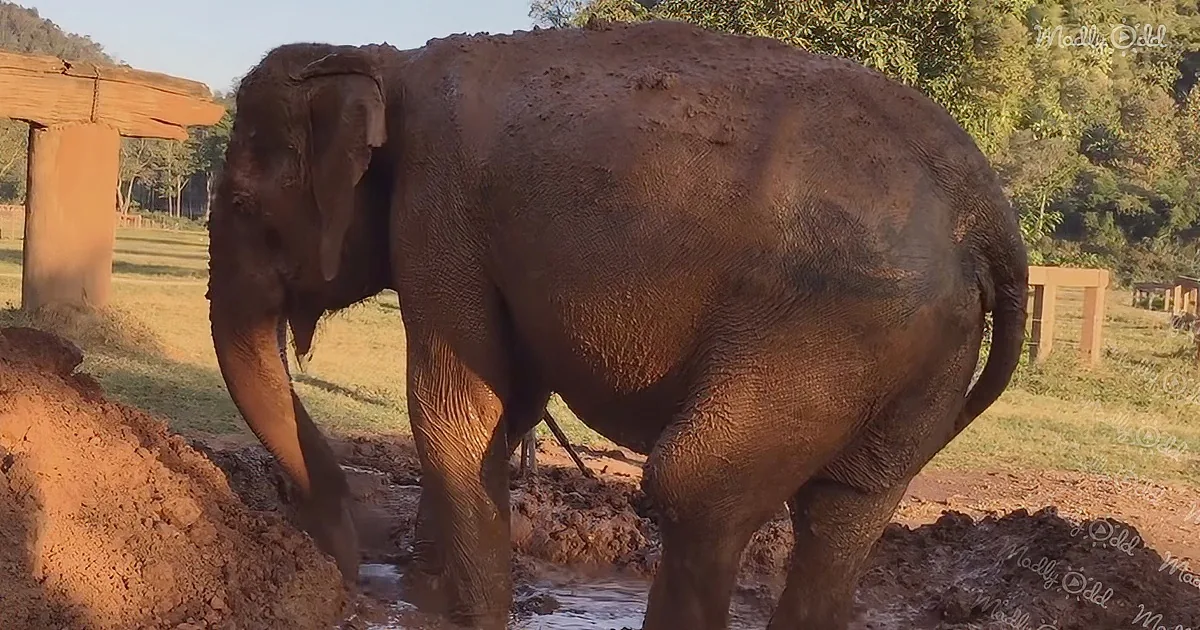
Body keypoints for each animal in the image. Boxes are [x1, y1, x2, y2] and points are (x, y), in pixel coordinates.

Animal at [206, 18, 1028, 630]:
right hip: (921, 353)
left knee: (696, 486)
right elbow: (507, 409)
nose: (348, 579)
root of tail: (985, 209)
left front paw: (455, 612)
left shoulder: (439, 212)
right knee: (844, 511)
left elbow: (455, 414)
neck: (383, 60)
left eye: (242, 204)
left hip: (825, 330)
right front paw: (425, 595)